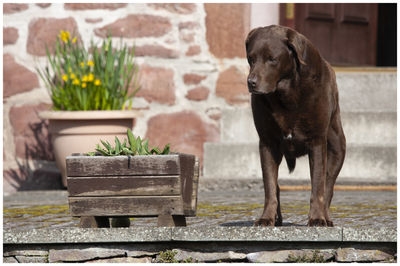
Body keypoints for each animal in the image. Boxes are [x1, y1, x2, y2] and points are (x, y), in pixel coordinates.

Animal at [245, 25, 346, 227]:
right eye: (251, 59)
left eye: (272, 59)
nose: (251, 82)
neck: (286, 93)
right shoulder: (267, 143)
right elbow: (269, 186)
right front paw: (266, 218)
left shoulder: (317, 142)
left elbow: (318, 185)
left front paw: (317, 218)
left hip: (338, 146)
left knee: (328, 185)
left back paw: (327, 217)